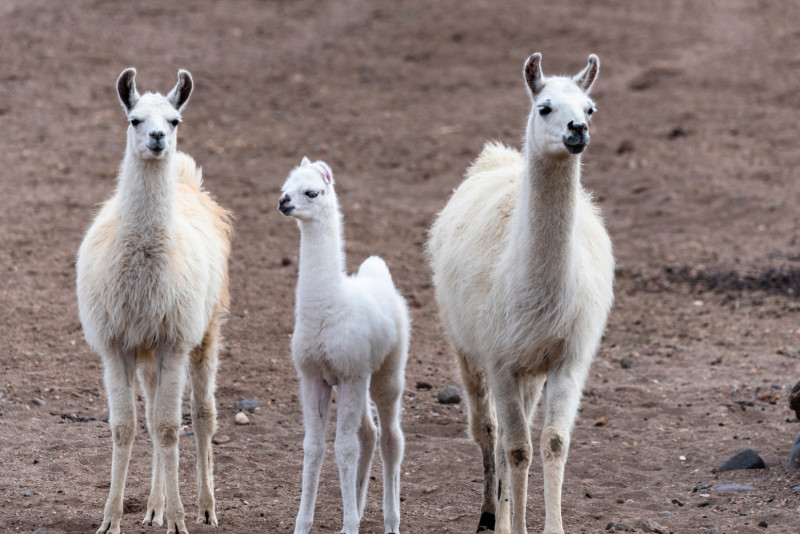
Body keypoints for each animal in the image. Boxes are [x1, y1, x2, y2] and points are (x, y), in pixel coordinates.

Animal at [76, 68, 231, 534]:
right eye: (135, 119)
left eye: (175, 120)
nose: (159, 138)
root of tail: (187, 183)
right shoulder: (117, 344)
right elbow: (125, 427)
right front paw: (111, 519)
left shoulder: (174, 341)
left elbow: (168, 428)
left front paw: (180, 521)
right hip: (146, 349)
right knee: (151, 418)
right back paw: (153, 506)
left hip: (206, 331)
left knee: (202, 415)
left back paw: (205, 507)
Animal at [278, 158, 409, 534]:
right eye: (285, 188)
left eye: (312, 192)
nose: (283, 203)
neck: (328, 307)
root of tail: (378, 276)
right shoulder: (313, 377)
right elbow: (314, 447)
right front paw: (303, 524)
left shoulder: (350, 373)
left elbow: (344, 447)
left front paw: (349, 525)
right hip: (360, 379)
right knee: (369, 432)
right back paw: (361, 507)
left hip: (386, 372)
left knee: (391, 438)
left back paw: (390, 521)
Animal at [427, 53, 614, 534]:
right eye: (545, 107)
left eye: (590, 109)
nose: (577, 130)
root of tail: (497, 157)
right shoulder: (499, 357)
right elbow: (516, 448)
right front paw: (514, 524)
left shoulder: (568, 355)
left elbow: (552, 442)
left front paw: (552, 527)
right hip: (467, 344)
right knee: (488, 431)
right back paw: (490, 514)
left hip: (531, 366)